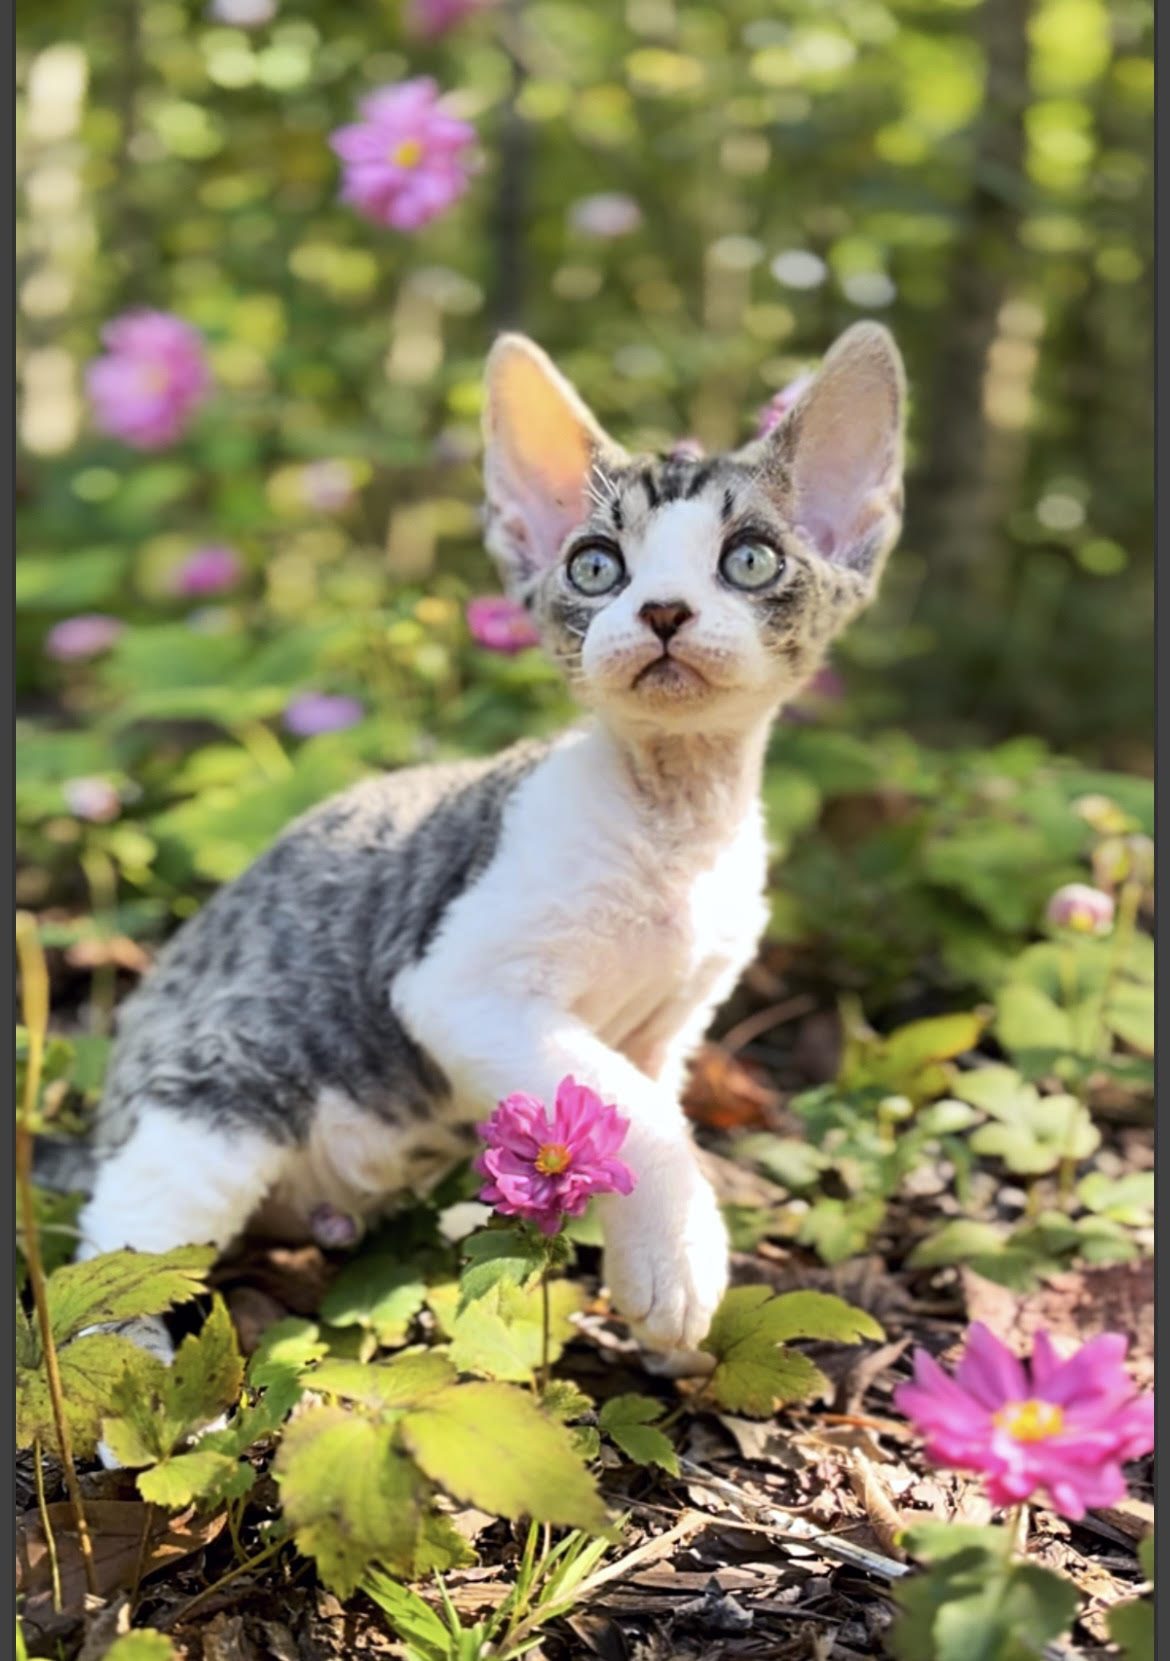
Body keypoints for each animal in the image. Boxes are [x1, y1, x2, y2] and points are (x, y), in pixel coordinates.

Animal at [61, 323, 904, 1375]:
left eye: (749, 560)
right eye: (596, 568)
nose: (664, 610)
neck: (674, 820)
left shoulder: (675, 1022)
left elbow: (643, 1104)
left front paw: (660, 1293)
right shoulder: (461, 986)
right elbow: (637, 1110)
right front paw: (681, 1264)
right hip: (211, 1100)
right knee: (120, 1257)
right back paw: (132, 1382)